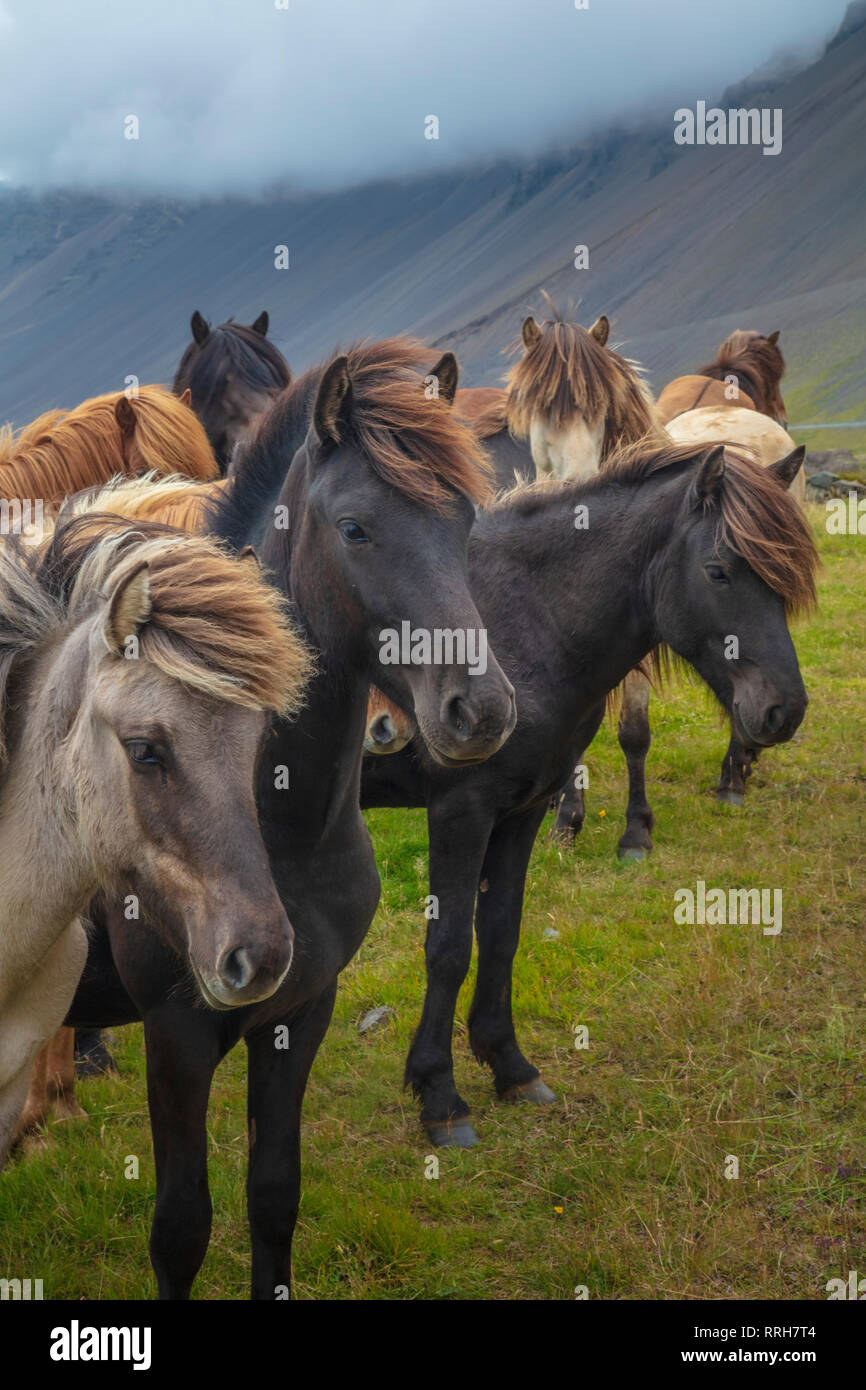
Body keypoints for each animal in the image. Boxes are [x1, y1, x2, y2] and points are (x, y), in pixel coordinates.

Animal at [65, 337, 517, 1299]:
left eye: (464, 522)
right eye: (355, 529)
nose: (483, 712)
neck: (278, 832)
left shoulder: (301, 1011)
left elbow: (274, 1195)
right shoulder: (179, 1036)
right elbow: (181, 1227)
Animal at [360, 439, 817, 1147]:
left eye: (785, 575)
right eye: (718, 571)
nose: (783, 711)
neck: (519, 617)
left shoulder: (519, 812)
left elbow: (501, 932)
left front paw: (510, 1065)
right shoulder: (461, 812)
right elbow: (448, 948)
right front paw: (439, 1095)